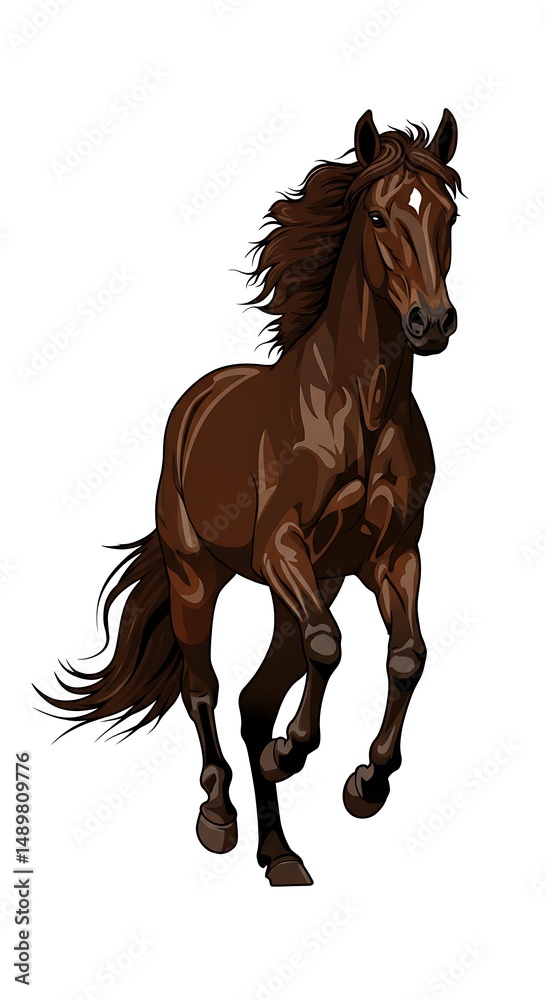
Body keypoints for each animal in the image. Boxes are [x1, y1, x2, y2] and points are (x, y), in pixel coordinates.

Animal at [37, 108, 462, 886]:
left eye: (447, 214)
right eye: (379, 216)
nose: (432, 323)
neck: (358, 411)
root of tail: (195, 402)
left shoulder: (392, 555)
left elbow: (406, 656)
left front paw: (366, 783)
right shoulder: (279, 547)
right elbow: (330, 644)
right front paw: (295, 752)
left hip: (305, 585)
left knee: (252, 697)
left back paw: (281, 854)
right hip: (196, 576)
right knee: (205, 688)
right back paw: (220, 816)